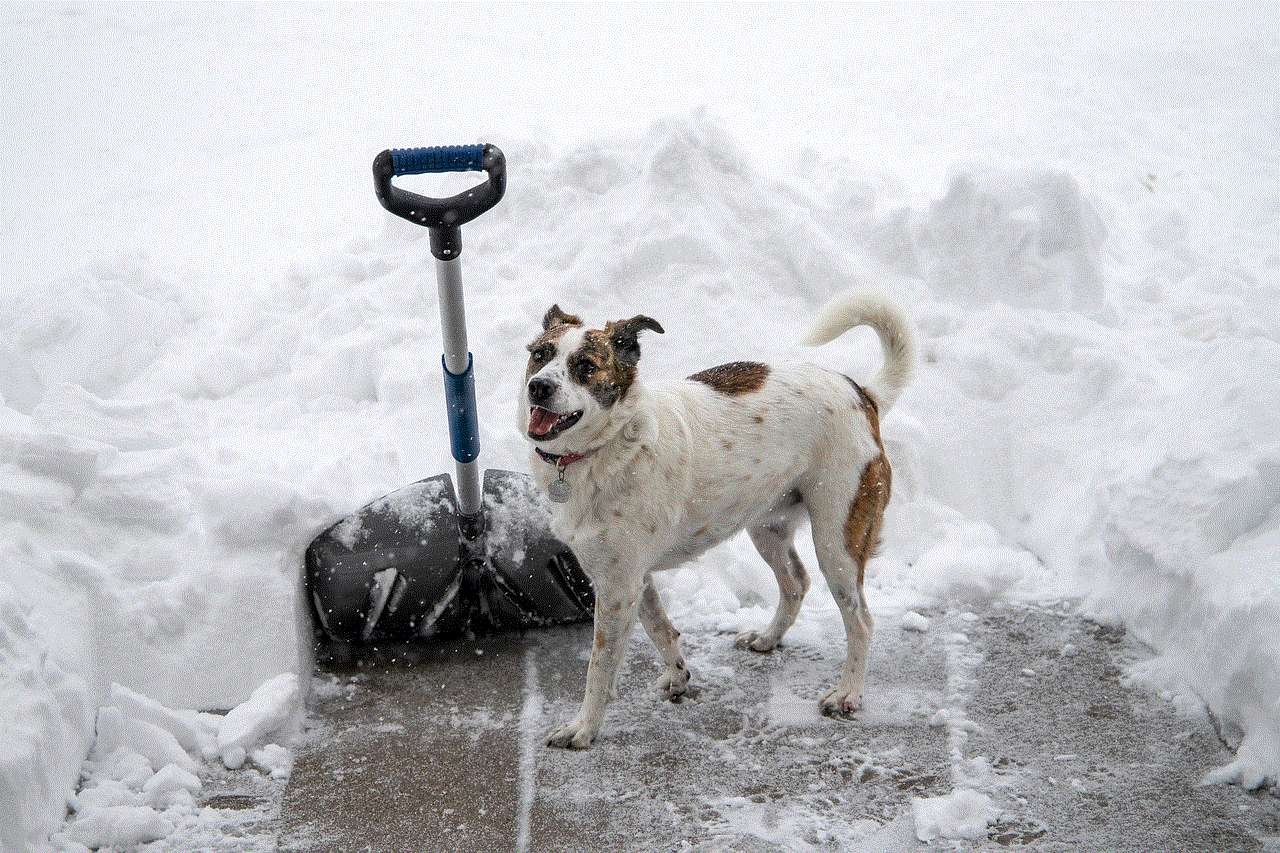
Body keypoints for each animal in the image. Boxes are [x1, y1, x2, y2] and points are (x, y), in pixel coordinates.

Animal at [522, 290, 921, 742]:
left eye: (586, 367)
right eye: (540, 355)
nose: (538, 386)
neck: (606, 447)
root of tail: (862, 392)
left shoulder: (618, 586)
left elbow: (599, 666)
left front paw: (583, 728)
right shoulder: (629, 577)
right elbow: (660, 629)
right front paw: (677, 678)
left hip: (838, 540)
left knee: (861, 621)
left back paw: (848, 693)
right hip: (766, 525)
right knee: (796, 583)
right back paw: (768, 638)